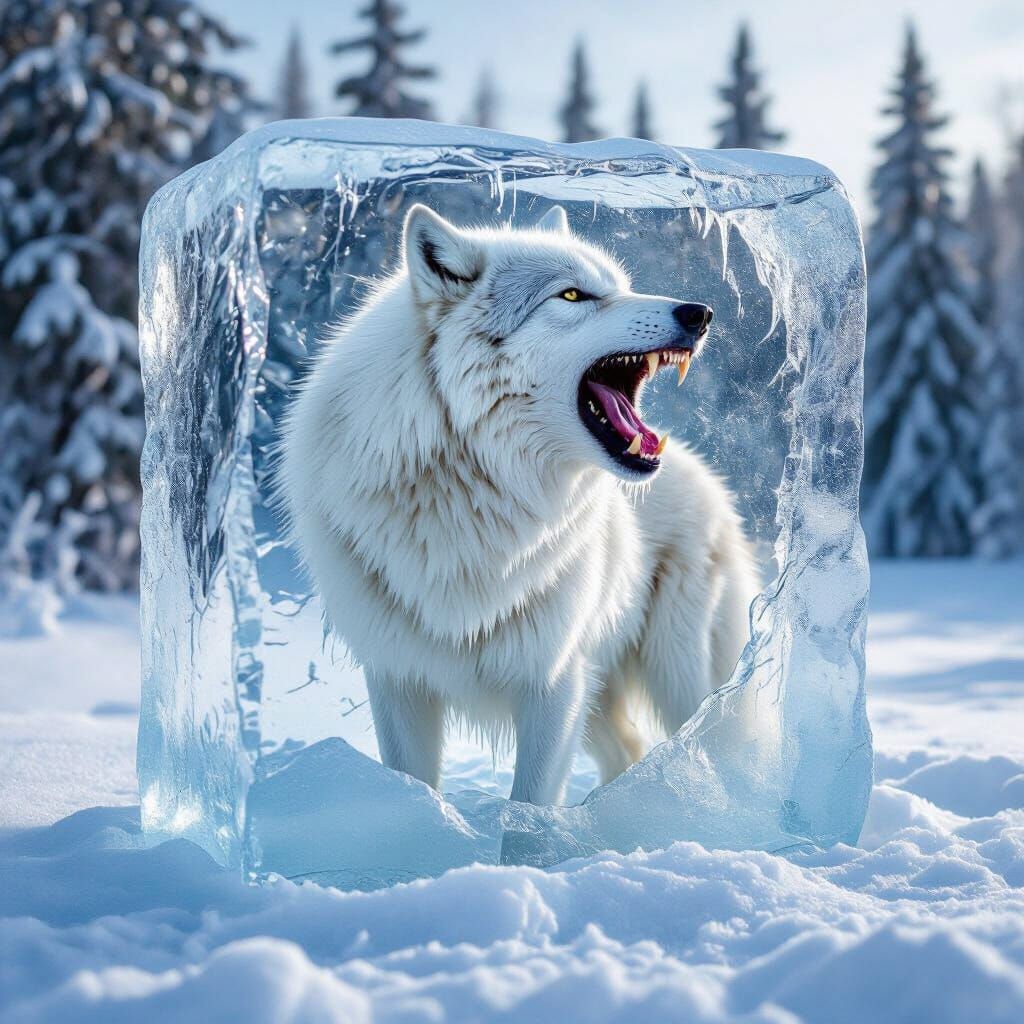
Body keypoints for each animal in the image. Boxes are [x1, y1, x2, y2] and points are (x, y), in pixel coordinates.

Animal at [279, 203, 759, 806]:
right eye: (573, 295)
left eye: (621, 286)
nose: (701, 312)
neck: (470, 494)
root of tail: (710, 481)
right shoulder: (397, 676)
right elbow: (413, 783)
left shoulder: (555, 679)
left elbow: (529, 802)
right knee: (629, 749)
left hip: (675, 673)